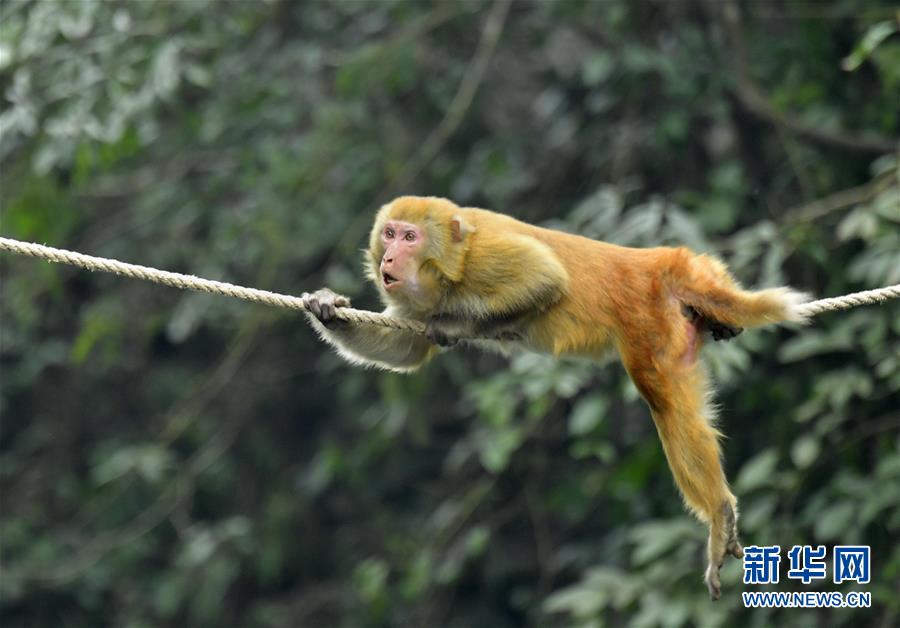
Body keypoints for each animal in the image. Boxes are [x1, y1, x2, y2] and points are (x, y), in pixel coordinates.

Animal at [300, 196, 808, 600]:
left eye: (410, 236)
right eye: (388, 233)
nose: (389, 255)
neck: (448, 267)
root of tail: (655, 262)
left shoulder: (483, 259)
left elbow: (545, 279)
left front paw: (457, 325)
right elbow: (408, 350)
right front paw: (329, 310)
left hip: (649, 322)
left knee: (664, 399)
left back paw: (718, 513)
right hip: (696, 283)